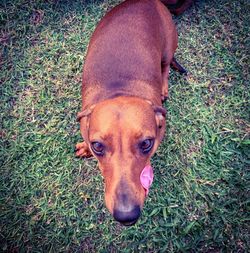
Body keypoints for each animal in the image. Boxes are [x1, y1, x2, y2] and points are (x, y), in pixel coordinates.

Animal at [75, 0, 187, 225]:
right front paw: (84, 148)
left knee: (165, 67)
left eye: (146, 144)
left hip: (168, 47)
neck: (120, 90)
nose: (127, 216)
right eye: (97, 146)